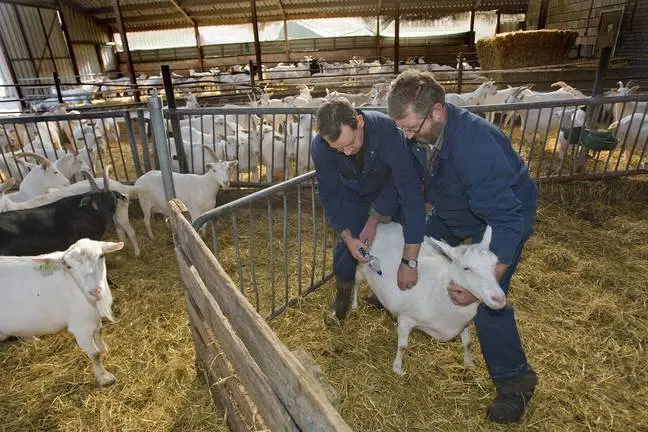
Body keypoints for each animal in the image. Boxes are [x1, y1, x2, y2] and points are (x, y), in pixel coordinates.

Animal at [0, 240, 125, 384]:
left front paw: (105, 349)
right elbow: (95, 354)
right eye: (68, 266)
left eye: (101, 256)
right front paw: (104, 378)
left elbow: (99, 332)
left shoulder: (93, 318)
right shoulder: (80, 327)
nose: (95, 291)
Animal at [354, 223, 506, 374]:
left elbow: (468, 343)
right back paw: (354, 306)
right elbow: (403, 346)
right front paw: (397, 368)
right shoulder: (405, 319)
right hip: (361, 266)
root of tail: (383, 225)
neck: (440, 293)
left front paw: (469, 364)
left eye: (495, 264)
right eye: (466, 268)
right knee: (355, 283)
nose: (499, 299)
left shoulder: (465, 323)